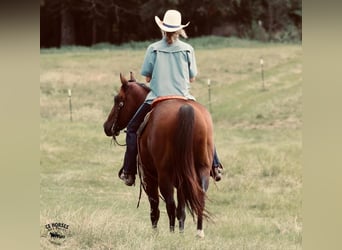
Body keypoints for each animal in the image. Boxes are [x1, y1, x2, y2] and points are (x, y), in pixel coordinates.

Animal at [103, 73, 212, 238]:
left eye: (118, 100)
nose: (107, 126)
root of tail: (185, 109)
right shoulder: (182, 179)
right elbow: (181, 210)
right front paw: (181, 233)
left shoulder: (149, 177)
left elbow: (155, 207)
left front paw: (156, 232)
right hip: (201, 169)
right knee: (200, 196)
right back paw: (198, 232)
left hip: (164, 175)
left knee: (170, 204)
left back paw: (172, 233)